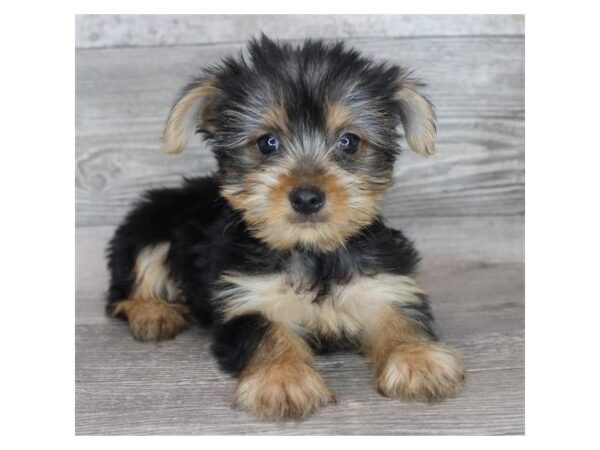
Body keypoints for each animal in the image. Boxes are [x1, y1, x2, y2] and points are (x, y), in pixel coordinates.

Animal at [106, 34, 464, 418]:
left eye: (349, 141)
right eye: (267, 142)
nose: (307, 197)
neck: (312, 251)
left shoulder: (383, 284)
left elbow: (400, 316)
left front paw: (418, 358)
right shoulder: (247, 297)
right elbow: (266, 331)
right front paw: (283, 378)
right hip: (148, 227)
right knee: (126, 288)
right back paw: (153, 312)